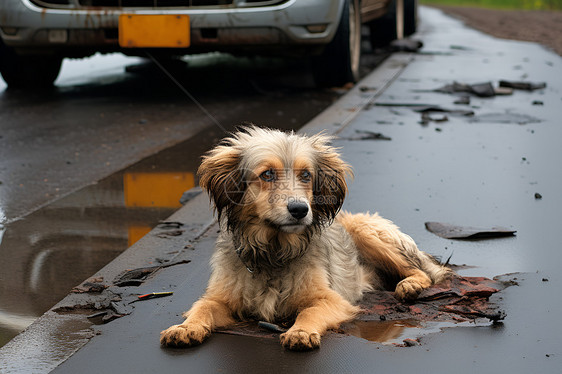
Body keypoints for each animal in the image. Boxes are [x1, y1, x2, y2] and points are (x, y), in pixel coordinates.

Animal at [160, 125, 448, 350]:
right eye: (267, 174)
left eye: (306, 175)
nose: (300, 210)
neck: (273, 252)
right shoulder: (219, 297)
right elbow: (202, 307)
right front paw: (186, 328)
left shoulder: (333, 299)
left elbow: (311, 310)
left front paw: (300, 331)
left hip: (366, 231)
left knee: (424, 271)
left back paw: (410, 285)